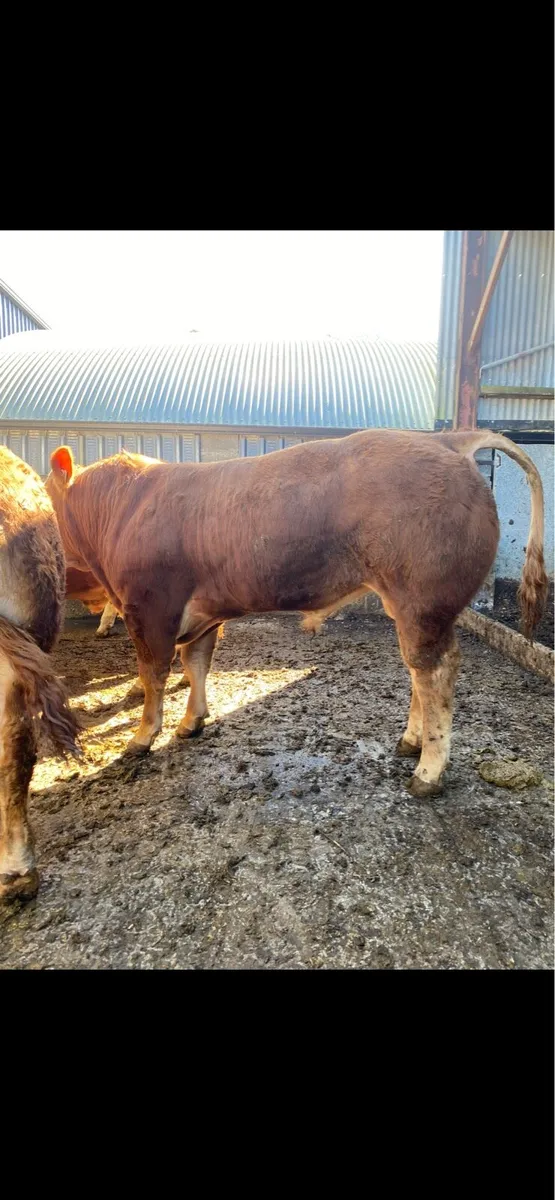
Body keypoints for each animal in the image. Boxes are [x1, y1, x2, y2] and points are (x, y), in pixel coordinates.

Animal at [46, 429, 547, 798]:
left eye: (44, 500)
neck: (122, 509)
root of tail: (448, 440)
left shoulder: (149, 609)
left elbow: (153, 677)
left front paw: (142, 737)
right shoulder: (201, 613)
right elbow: (196, 664)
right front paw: (192, 721)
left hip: (423, 601)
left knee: (435, 673)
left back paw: (427, 771)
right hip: (415, 608)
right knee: (418, 673)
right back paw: (410, 742)